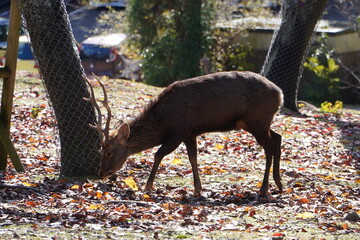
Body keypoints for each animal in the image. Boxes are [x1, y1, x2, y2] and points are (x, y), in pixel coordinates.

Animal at [84, 71, 284, 199]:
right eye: (101, 150)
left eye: (108, 152)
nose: (102, 172)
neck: (164, 120)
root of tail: (280, 94)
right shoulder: (190, 133)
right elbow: (192, 157)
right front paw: (198, 189)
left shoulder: (178, 131)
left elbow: (158, 154)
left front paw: (147, 187)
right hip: (256, 123)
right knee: (277, 137)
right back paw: (279, 184)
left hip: (257, 120)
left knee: (269, 146)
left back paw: (264, 189)